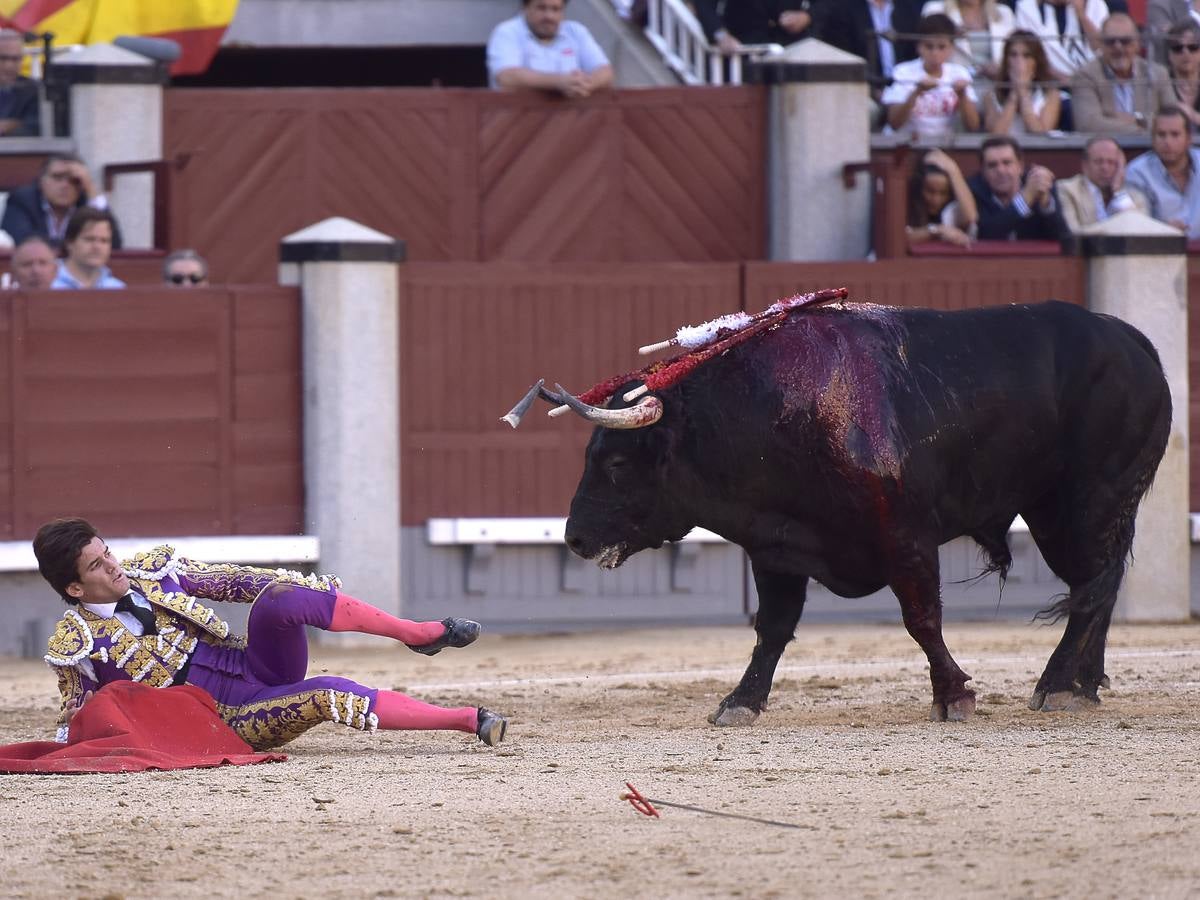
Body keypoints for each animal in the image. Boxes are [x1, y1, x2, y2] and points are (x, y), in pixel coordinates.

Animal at [564, 303, 1171, 724]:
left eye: (615, 462)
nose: (574, 538)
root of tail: (1132, 340)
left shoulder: (906, 538)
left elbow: (922, 620)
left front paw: (954, 696)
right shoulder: (776, 547)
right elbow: (772, 628)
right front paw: (740, 701)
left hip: (1085, 504)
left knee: (1093, 585)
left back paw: (1056, 685)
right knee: (1101, 585)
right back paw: (1084, 685)